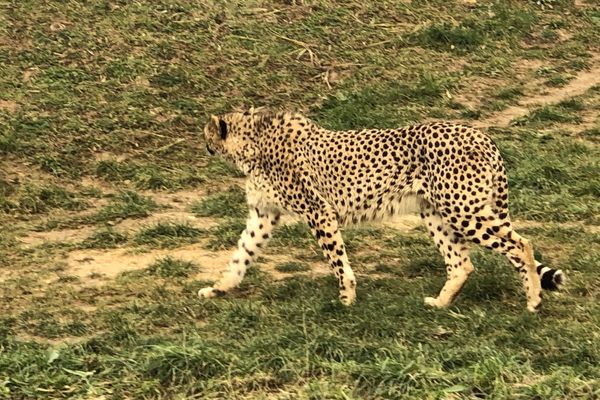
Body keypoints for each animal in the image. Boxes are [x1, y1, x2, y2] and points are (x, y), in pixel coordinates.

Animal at [197, 108, 564, 312]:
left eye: (207, 133)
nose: (204, 144)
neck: (253, 142)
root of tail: (481, 134)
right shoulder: (264, 215)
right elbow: (241, 255)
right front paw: (219, 288)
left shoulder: (319, 212)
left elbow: (337, 260)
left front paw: (346, 299)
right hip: (436, 212)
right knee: (462, 263)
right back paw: (440, 303)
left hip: (463, 210)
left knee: (521, 245)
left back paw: (533, 300)